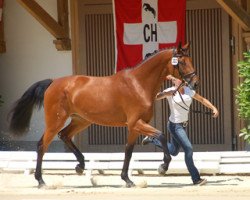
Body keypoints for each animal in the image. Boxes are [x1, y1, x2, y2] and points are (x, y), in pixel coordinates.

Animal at [8, 43, 199, 188]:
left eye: (190, 60)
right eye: (182, 62)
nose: (195, 83)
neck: (138, 84)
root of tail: (53, 82)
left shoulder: (135, 126)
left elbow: (128, 151)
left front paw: (127, 179)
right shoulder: (135, 123)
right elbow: (161, 135)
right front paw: (163, 166)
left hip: (81, 120)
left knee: (65, 135)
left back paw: (80, 166)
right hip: (55, 121)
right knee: (42, 145)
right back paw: (41, 181)